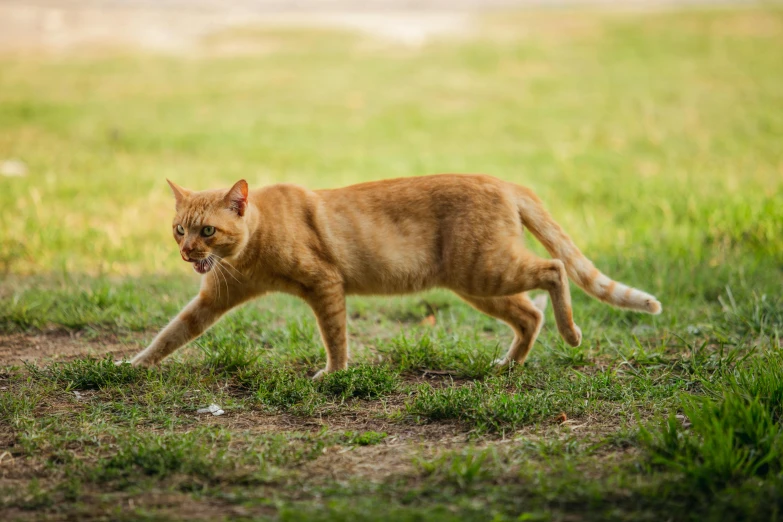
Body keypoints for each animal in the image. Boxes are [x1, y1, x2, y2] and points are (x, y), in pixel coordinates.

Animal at [127, 174, 660, 374]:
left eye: (208, 231)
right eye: (179, 230)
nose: (187, 253)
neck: (251, 248)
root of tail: (502, 180)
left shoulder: (325, 284)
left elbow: (335, 337)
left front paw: (333, 375)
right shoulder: (211, 301)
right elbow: (170, 335)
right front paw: (130, 366)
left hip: (487, 272)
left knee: (554, 270)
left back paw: (572, 335)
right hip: (478, 285)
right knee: (530, 314)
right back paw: (508, 365)